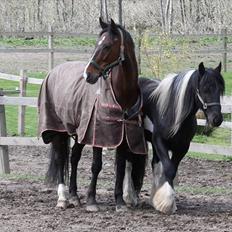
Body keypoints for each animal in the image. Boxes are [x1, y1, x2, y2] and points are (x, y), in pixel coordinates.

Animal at [38, 18, 146, 211]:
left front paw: (119, 201)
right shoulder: (98, 134)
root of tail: (52, 72)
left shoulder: (121, 135)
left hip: (80, 132)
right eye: (97, 44)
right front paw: (91, 201)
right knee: (60, 159)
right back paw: (63, 198)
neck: (122, 95)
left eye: (107, 46)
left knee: (74, 157)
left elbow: (120, 167)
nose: (88, 75)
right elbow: (96, 166)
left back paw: (74, 196)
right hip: (58, 130)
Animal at [125, 61, 225, 214]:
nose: (217, 119)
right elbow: (169, 169)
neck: (174, 112)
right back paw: (129, 197)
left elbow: (171, 169)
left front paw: (161, 201)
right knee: (128, 164)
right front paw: (167, 203)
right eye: (205, 89)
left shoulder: (182, 147)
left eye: (220, 89)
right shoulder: (160, 142)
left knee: (153, 165)